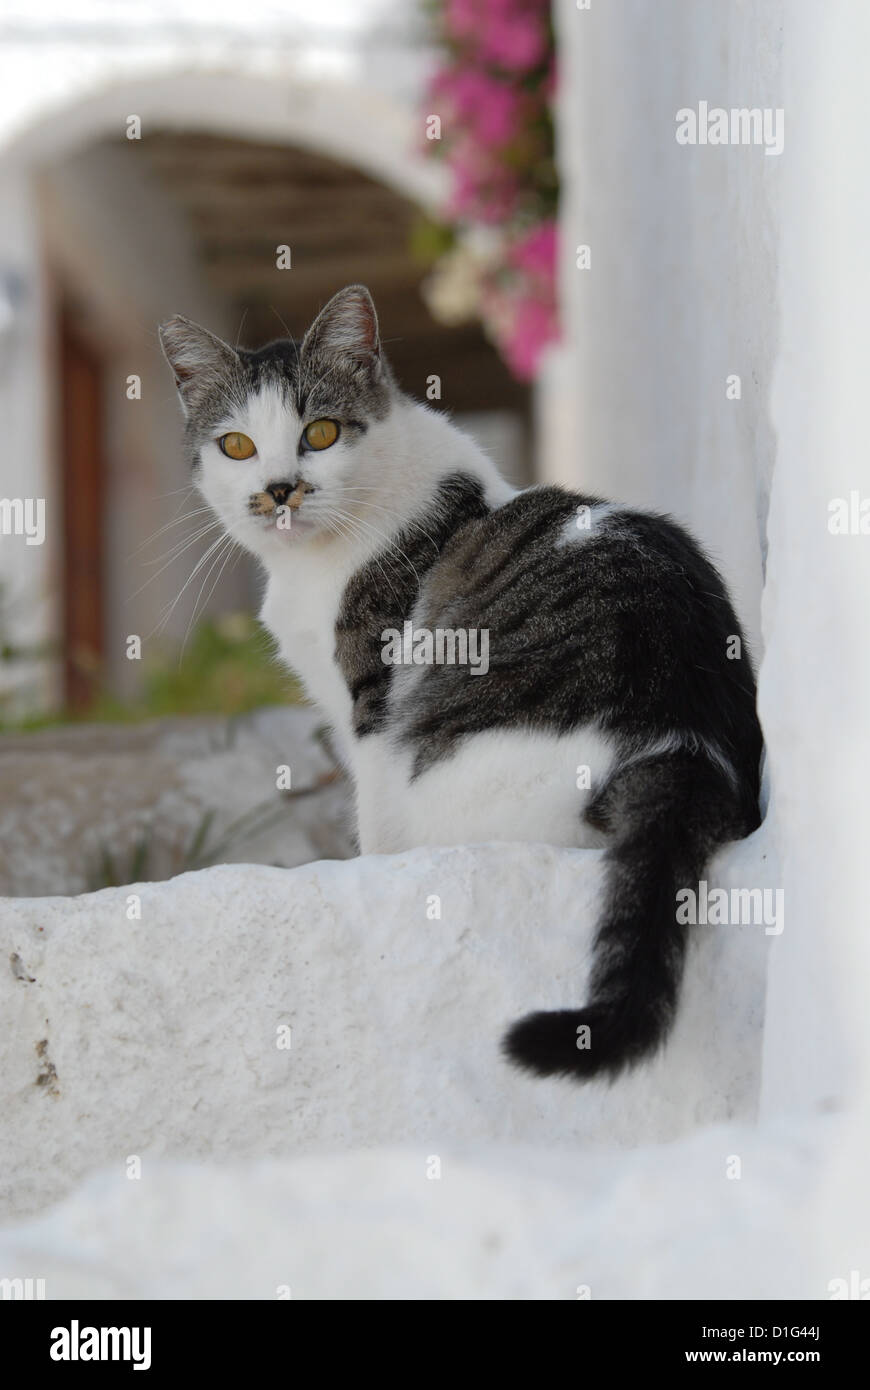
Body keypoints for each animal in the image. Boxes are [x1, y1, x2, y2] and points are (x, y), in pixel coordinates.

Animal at [161, 284, 756, 1084]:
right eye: (236, 446)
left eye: (320, 432)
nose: (280, 489)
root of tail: (684, 745)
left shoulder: (372, 708)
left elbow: (374, 820)